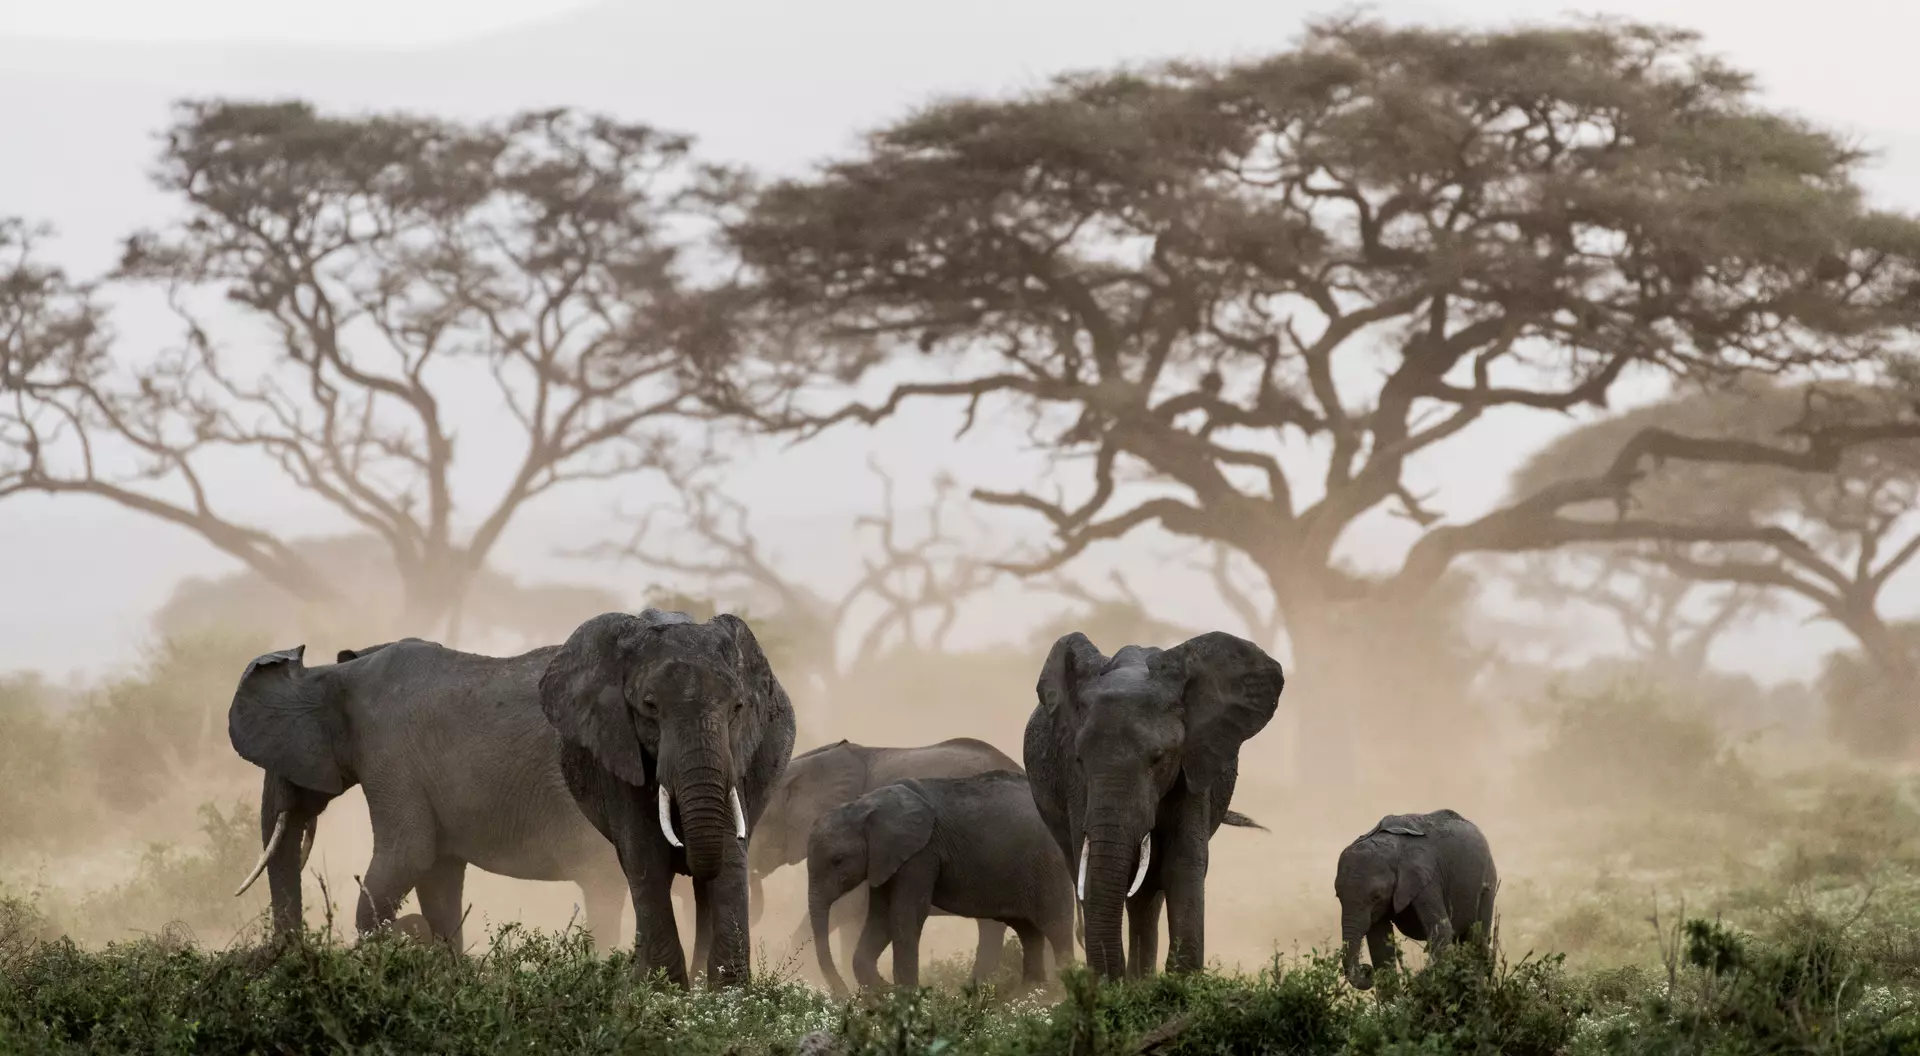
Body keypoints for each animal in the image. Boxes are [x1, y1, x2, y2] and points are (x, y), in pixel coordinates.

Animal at [539, 609, 796, 988]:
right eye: (649, 706)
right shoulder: (617, 751)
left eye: (737, 707)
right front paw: (663, 991)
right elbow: (645, 858)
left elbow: (729, 855)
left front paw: (728, 994)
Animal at [806, 771, 1075, 995]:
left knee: (1057, 928)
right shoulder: (884, 860)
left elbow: (906, 917)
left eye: (837, 860)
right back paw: (1029, 995)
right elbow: (880, 919)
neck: (865, 805)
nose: (845, 996)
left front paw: (906, 996)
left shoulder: (920, 855)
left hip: (1050, 865)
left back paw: (1059, 993)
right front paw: (886, 993)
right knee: (1029, 933)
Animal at [1025, 630, 1285, 980]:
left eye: (1158, 758)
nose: (1112, 984)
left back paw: (1142, 982)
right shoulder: (1075, 782)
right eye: (1079, 758)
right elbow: (1089, 863)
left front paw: (1180, 986)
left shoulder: (1194, 764)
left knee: (1147, 893)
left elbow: (1183, 864)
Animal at [1336, 809, 1497, 990]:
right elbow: (1380, 944)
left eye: (1376, 896)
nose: (1366, 970)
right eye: (1337, 895)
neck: (1393, 848)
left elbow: (1441, 931)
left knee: (1476, 940)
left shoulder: (1426, 878)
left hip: (1488, 880)